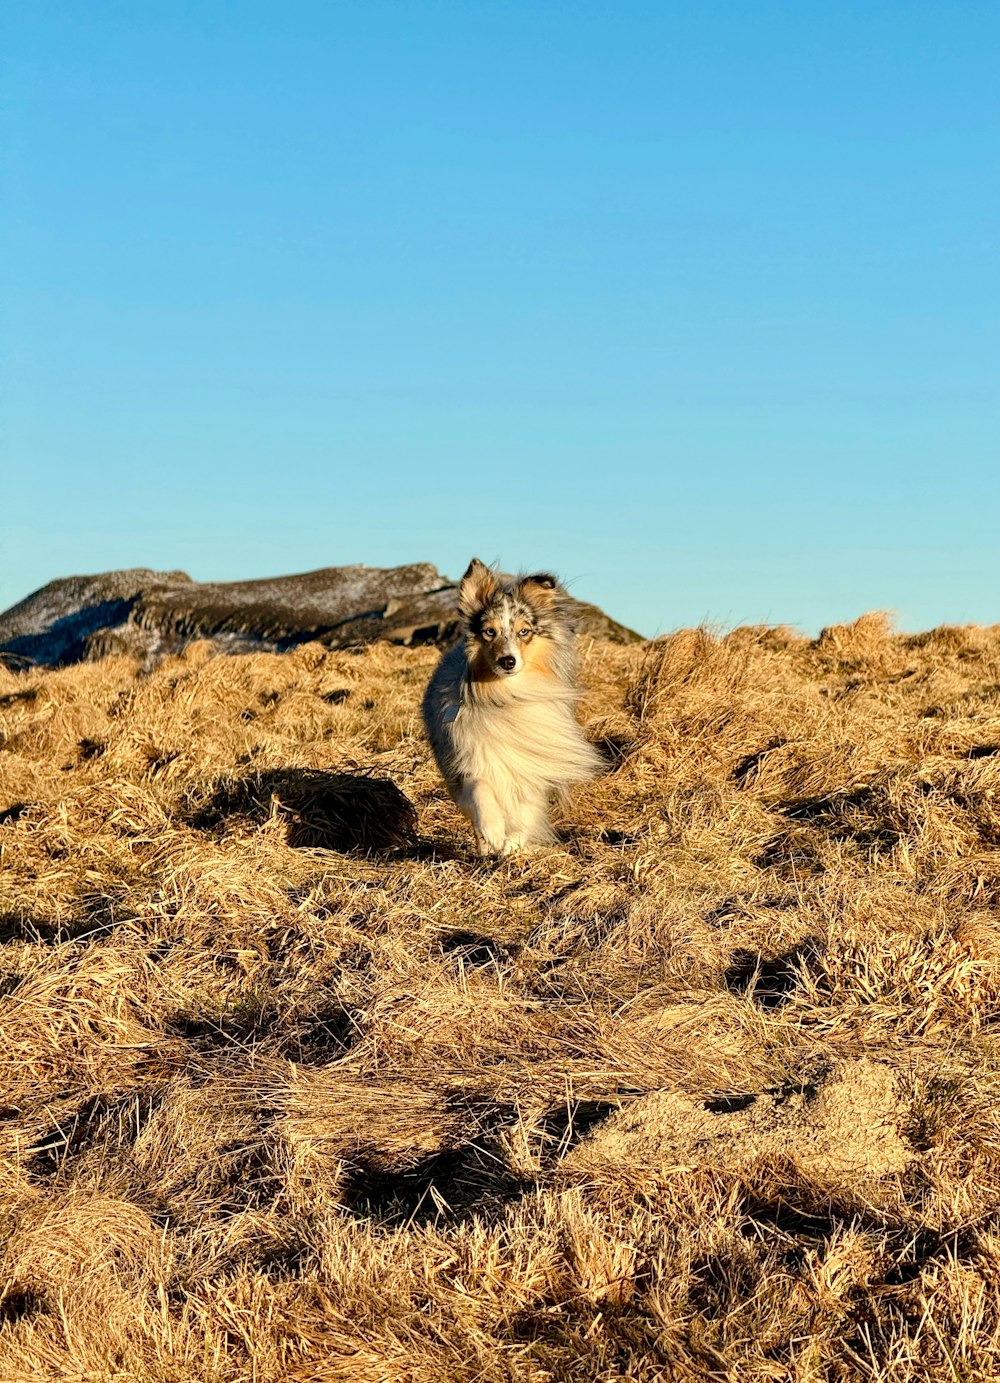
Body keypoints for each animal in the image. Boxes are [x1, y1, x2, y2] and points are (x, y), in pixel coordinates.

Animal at [423, 555, 603, 846]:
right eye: (489, 632)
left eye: (524, 632)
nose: (507, 661)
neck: (509, 695)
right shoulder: (470, 761)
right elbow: (481, 790)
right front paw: (494, 832)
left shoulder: (532, 761)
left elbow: (527, 806)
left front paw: (514, 841)